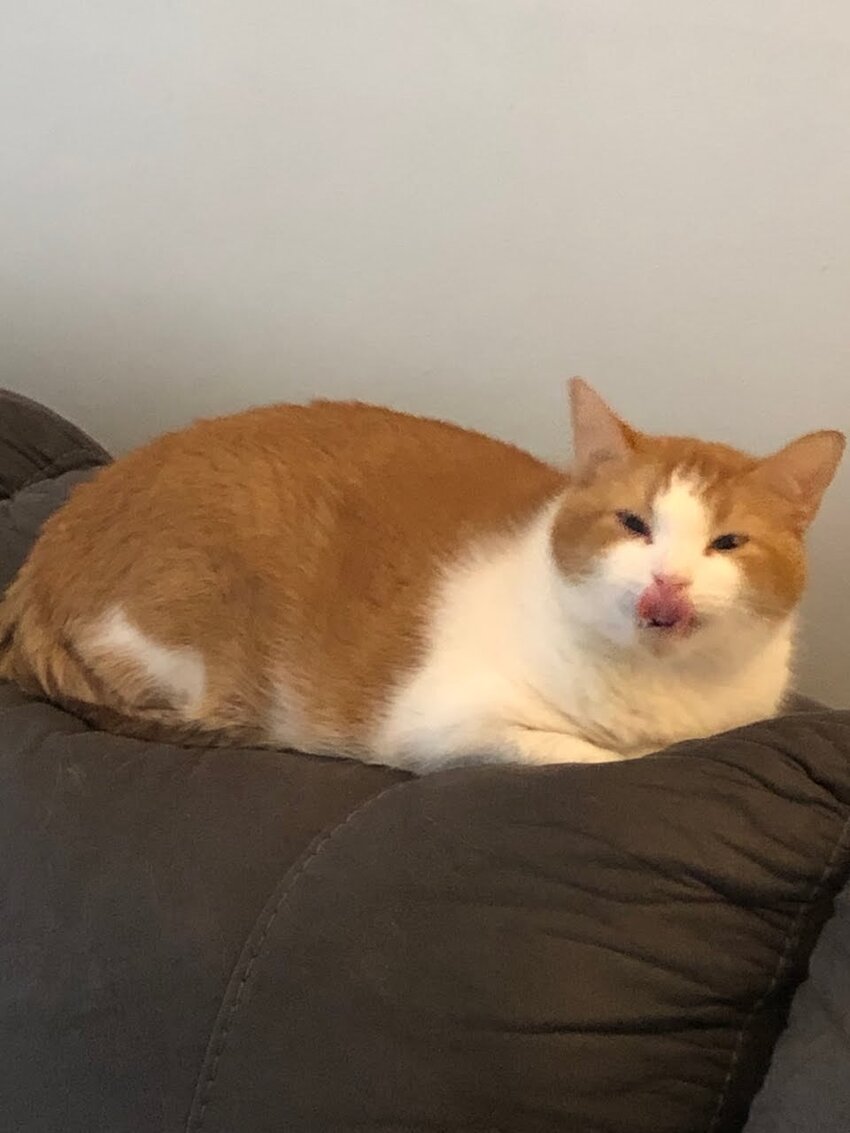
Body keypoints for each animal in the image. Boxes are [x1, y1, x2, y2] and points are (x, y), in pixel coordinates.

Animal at [0, 380, 843, 770]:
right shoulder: (446, 725)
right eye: (634, 524)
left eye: (727, 542)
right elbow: (582, 753)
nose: (667, 584)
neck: (657, 692)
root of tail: (47, 547)